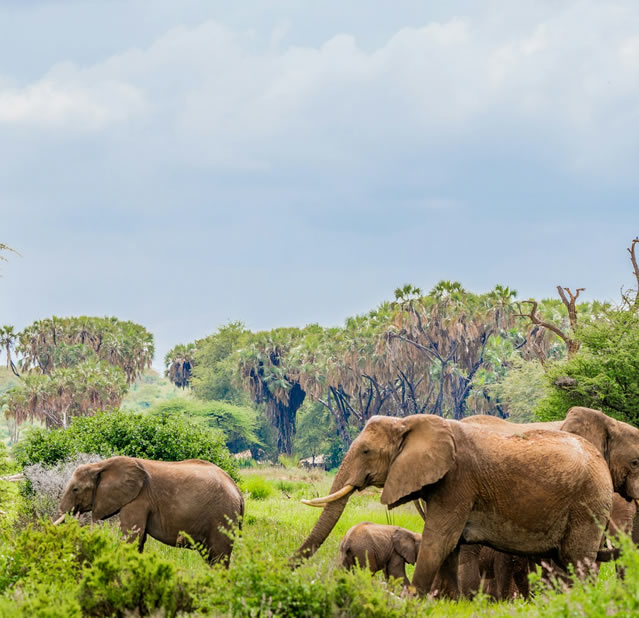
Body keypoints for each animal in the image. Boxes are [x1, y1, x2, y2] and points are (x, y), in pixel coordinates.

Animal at [53, 452, 244, 564]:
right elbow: (139, 539)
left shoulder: (138, 499)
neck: (101, 465)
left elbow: (132, 537)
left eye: (75, 489)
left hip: (222, 516)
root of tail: (238, 491)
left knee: (219, 557)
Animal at [294, 412, 616, 596]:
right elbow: (450, 546)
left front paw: (414, 601)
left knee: (578, 560)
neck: (409, 423)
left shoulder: (458, 482)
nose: (287, 568)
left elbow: (439, 540)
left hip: (588, 503)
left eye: (365, 451)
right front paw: (446, 602)